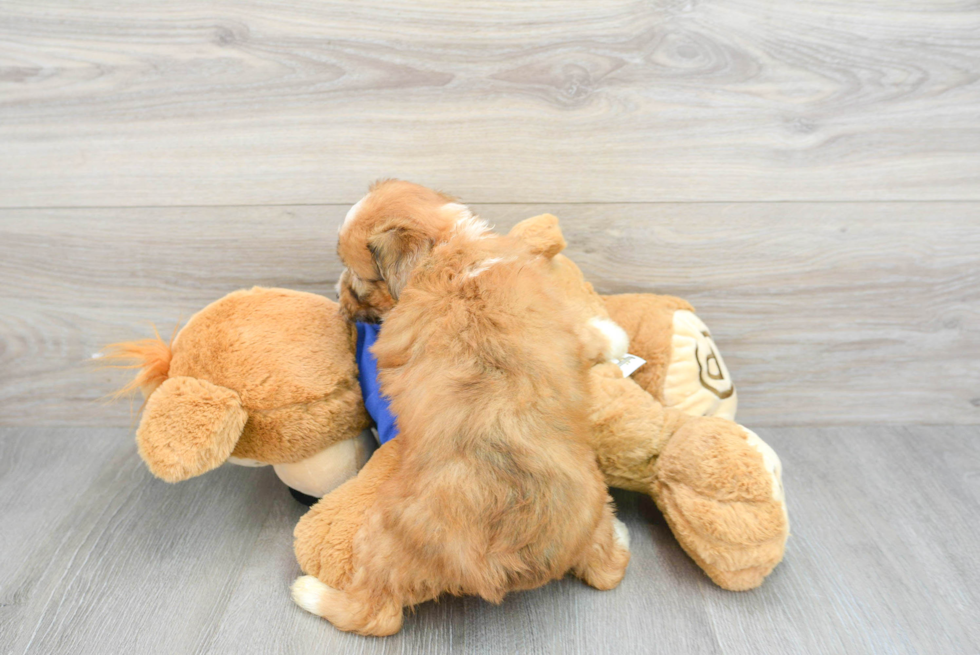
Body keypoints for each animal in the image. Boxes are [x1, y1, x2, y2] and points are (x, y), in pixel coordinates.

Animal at [292, 182, 628, 640]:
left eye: (359, 277)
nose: (339, 300)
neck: (447, 252)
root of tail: (499, 567)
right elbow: (589, 335)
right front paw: (614, 336)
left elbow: (590, 335)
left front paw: (615, 335)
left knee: (374, 615)